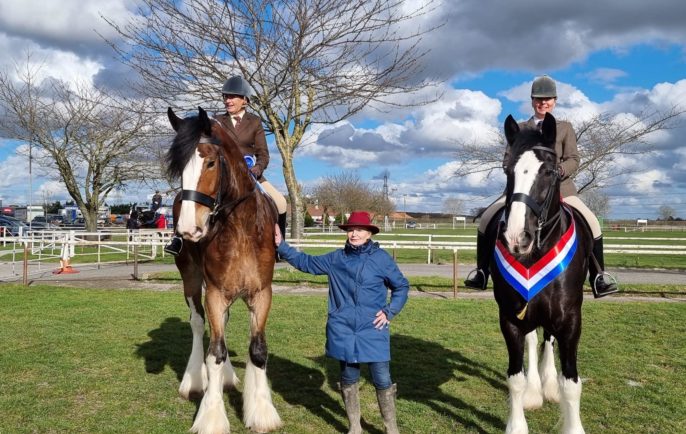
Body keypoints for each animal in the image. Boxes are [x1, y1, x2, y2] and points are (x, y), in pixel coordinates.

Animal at [167, 106, 282, 434]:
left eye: (210, 162)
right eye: (179, 168)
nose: (189, 229)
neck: (240, 228)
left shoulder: (261, 293)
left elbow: (257, 350)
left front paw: (261, 411)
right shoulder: (215, 293)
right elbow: (214, 354)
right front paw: (211, 417)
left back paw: (229, 379)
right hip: (192, 279)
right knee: (197, 324)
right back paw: (194, 381)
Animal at [490, 112, 592, 434]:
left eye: (549, 171)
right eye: (507, 170)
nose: (515, 238)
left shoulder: (570, 318)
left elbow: (571, 383)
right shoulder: (510, 317)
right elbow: (515, 378)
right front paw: (517, 424)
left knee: (548, 339)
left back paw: (547, 386)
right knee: (535, 340)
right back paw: (537, 390)